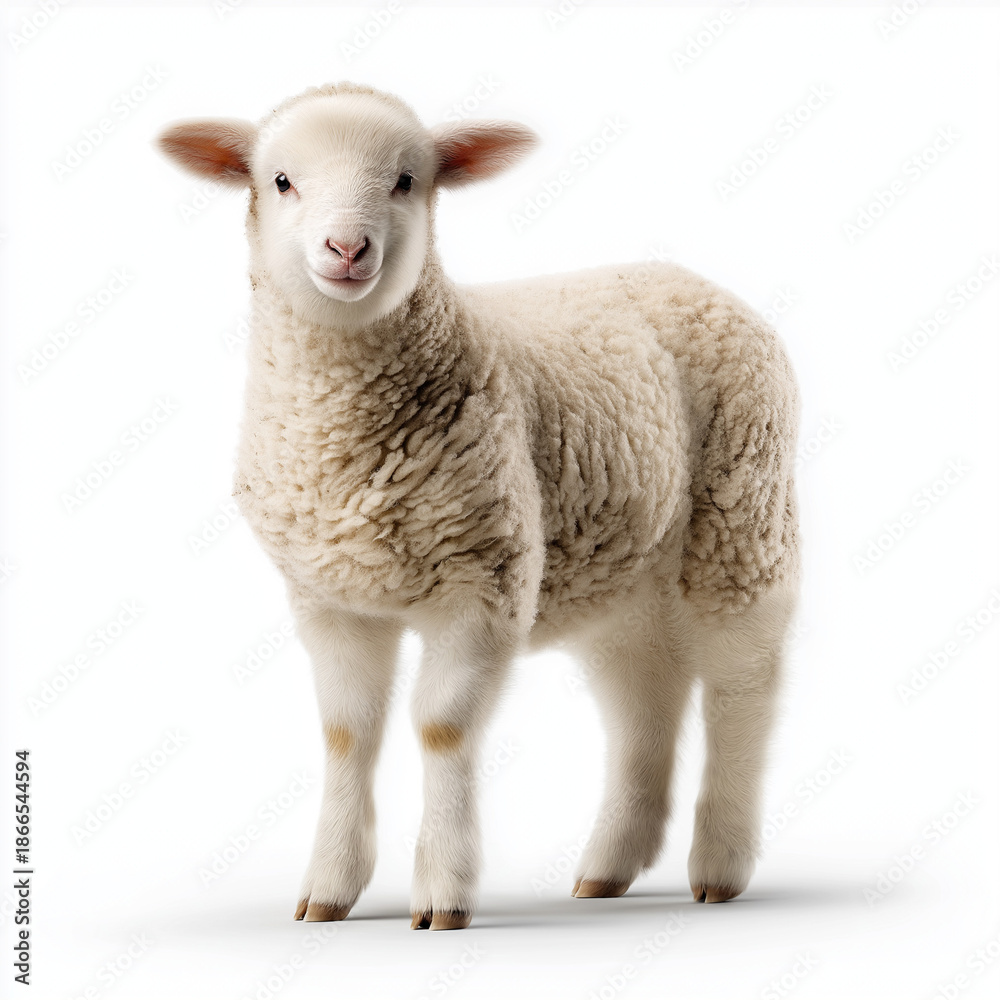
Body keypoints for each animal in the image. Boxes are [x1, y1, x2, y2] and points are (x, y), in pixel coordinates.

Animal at [157, 81, 800, 931]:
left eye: (406, 180)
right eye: (282, 180)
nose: (347, 250)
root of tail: (691, 280)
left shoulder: (482, 582)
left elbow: (441, 726)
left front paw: (443, 895)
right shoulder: (329, 597)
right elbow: (346, 733)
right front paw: (328, 890)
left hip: (742, 514)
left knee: (741, 683)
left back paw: (720, 864)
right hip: (624, 566)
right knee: (643, 693)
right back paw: (610, 865)